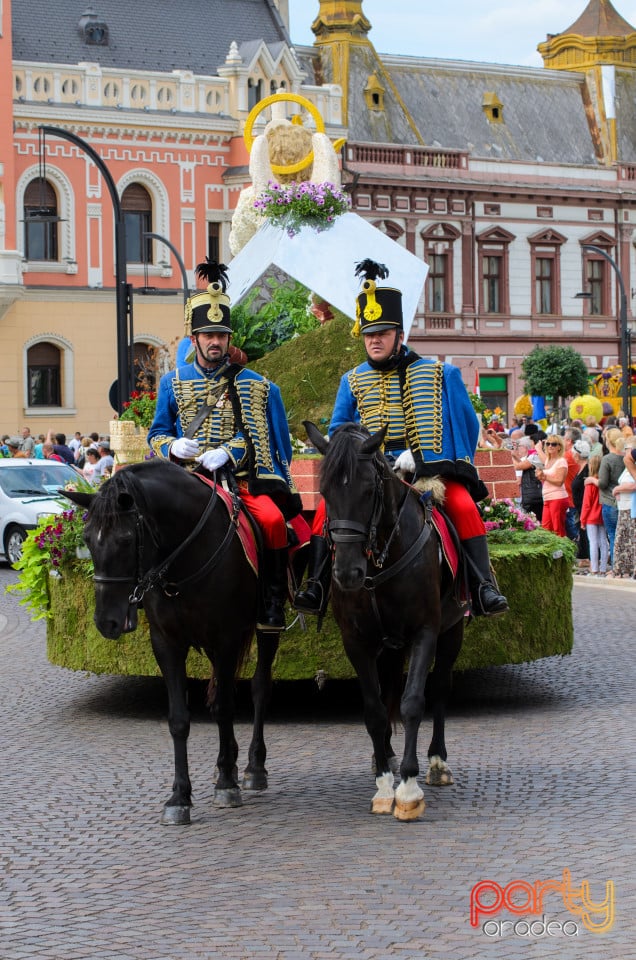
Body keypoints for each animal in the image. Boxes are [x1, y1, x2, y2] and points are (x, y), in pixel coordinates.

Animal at [64, 458, 278, 824]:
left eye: (125, 540)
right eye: (88, 539)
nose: (106, 622)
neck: (184, 559)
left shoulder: (225, 638)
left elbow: (225, 708)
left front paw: (225, 784)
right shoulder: (167, 644)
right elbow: (179, 719)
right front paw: (180, 796)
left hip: (266, 627)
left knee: (259, 688)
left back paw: (252, 766)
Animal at [306, 424, 464, 820]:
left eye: (367, 490)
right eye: (325, 491)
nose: (347, 573)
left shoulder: (426, 631)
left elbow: (412, 702)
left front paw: (407, 789)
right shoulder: (357, 641)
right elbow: (375, 711)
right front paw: (383, 784)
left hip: (453, 629)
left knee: (440, 687)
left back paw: (437, 762)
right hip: (389, 645)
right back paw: (387, 756)